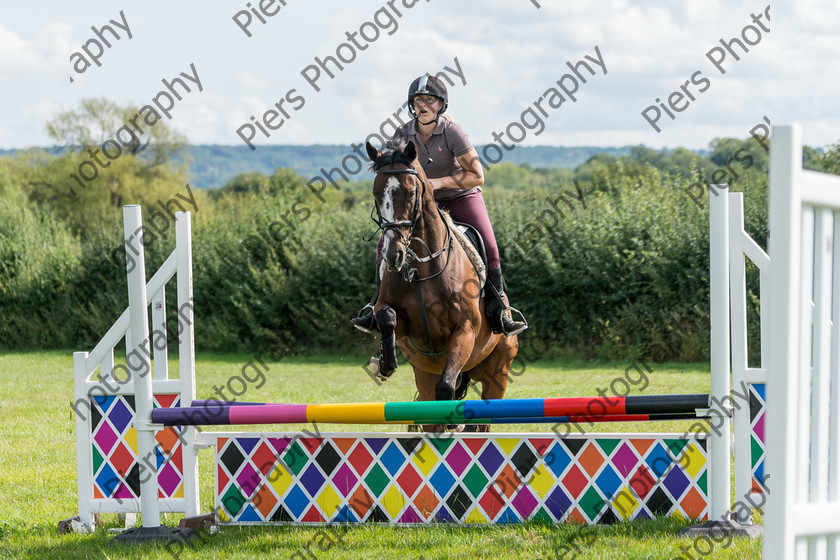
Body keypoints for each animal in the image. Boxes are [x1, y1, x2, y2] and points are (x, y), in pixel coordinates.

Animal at [366, 140, 520, 434]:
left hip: (498, 373)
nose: (393, 255)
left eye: (411, 192)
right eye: (376, 193)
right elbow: (386, 317)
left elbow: (447, 388)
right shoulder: (404, 325)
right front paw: (385, 362)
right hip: (425, 372)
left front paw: (454, 421)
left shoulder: (465, 330)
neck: (422, 268)